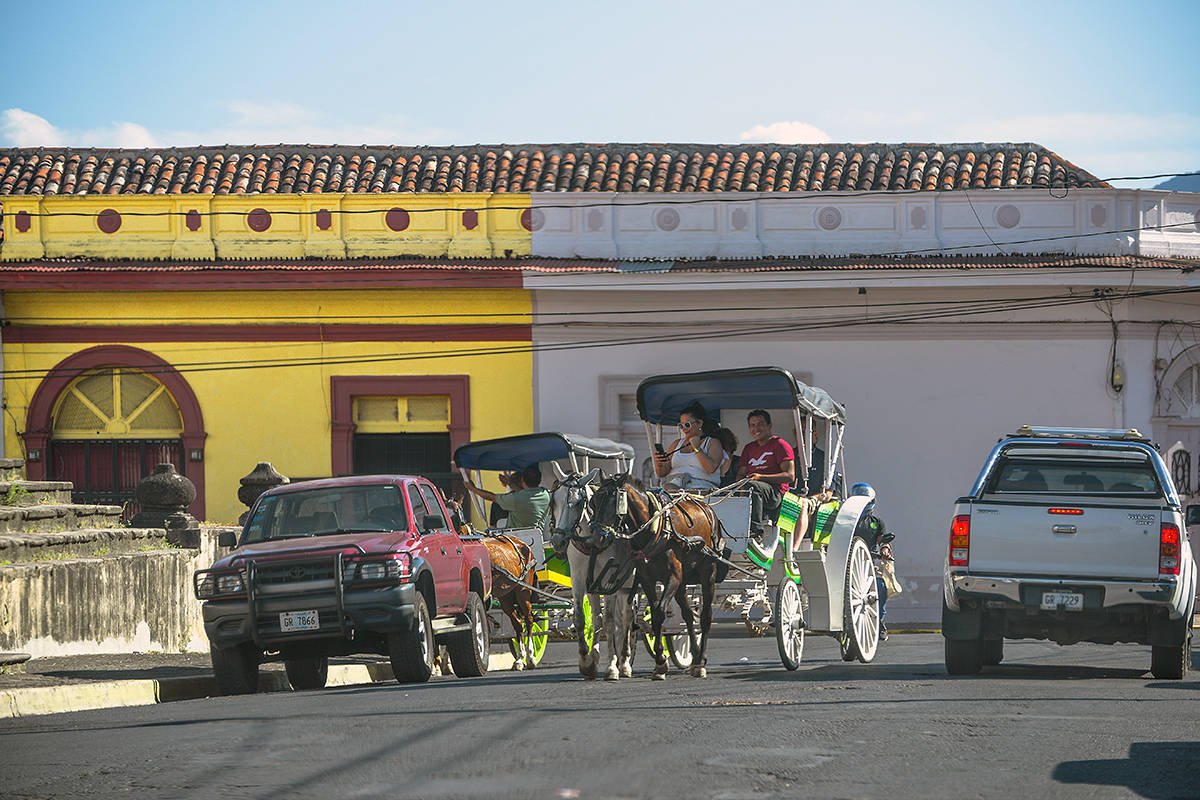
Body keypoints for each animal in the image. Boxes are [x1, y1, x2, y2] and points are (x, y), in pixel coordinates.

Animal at [477, 534, 540, 671]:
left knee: (529, 619)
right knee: (517, 622)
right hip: (506, 595)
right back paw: (519, 659)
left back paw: (530, 657)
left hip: (523, 590)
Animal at [549, 462, 643, 681]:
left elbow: (609, 621)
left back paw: (624, 662)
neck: (591, 541)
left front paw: (612, 666)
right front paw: (587, 661)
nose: (557, 540)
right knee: (613, 619)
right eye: (553, 501)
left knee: (626, 618)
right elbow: (583, 618)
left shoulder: (609, 581)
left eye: (578, 503)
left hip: (629, 585)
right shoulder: (580, 579)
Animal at [583, 474, 715, 681]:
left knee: (705, 616)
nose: (597, 539)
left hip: (708, 571)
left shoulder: (672, 577)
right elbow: (654, 615)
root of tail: (706, 506)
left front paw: (661, 661)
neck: (654, 529)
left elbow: (660, 613)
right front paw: (660, 662)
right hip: (682, 582)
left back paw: (701, 662)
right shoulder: (647, 579)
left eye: (614, 501)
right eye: (593, 502)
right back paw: (693, 658)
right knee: (687, 615)